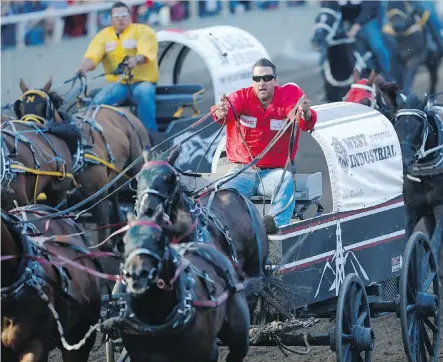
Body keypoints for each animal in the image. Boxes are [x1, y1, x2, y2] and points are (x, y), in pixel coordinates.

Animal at [14, 78, 152, 250]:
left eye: (43, 107)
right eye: (20, 107)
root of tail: (126, 113)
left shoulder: (97, 195)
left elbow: (103, 237)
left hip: (137, 162)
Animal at [394, 92, 442, 258]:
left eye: (420, 127)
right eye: (396, 125)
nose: (403, 162)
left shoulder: (440, 207)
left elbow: (434, 247)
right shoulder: (411, 209)